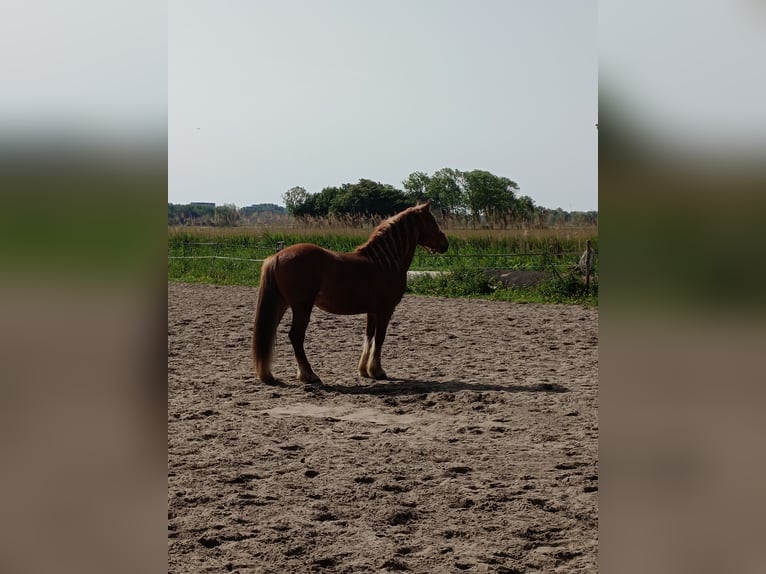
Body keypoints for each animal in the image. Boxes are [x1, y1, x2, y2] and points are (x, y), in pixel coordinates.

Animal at [252, 199, 449, 384]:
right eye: (432, 223)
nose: (445, 244)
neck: (384, 261)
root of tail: (277, 256)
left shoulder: (372, 311)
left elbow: (369, 337)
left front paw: (364, 370)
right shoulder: (385, 310)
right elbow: (380, 338)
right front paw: (377, 371)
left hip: (282, 304)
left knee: (270, 333)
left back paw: (269, 374)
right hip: (302, 307)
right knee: (295, 336)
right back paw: (309, 375)